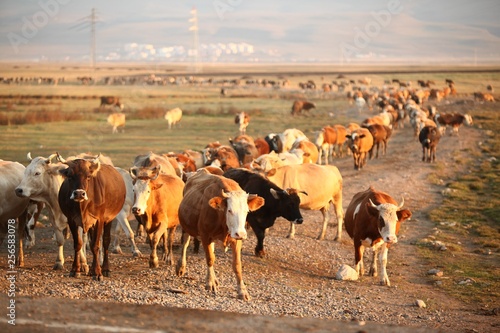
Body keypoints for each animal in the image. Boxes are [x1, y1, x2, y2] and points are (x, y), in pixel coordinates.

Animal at [175, 167, 264, 300]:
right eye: (230, 210)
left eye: (247, 211)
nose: (241, 234)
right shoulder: (205, 235)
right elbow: (210, 259)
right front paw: (210, 282)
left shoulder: (235, 239)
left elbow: (237, 265)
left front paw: (242, 291)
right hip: (186, 226)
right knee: (185, 244)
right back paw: (181, 267)